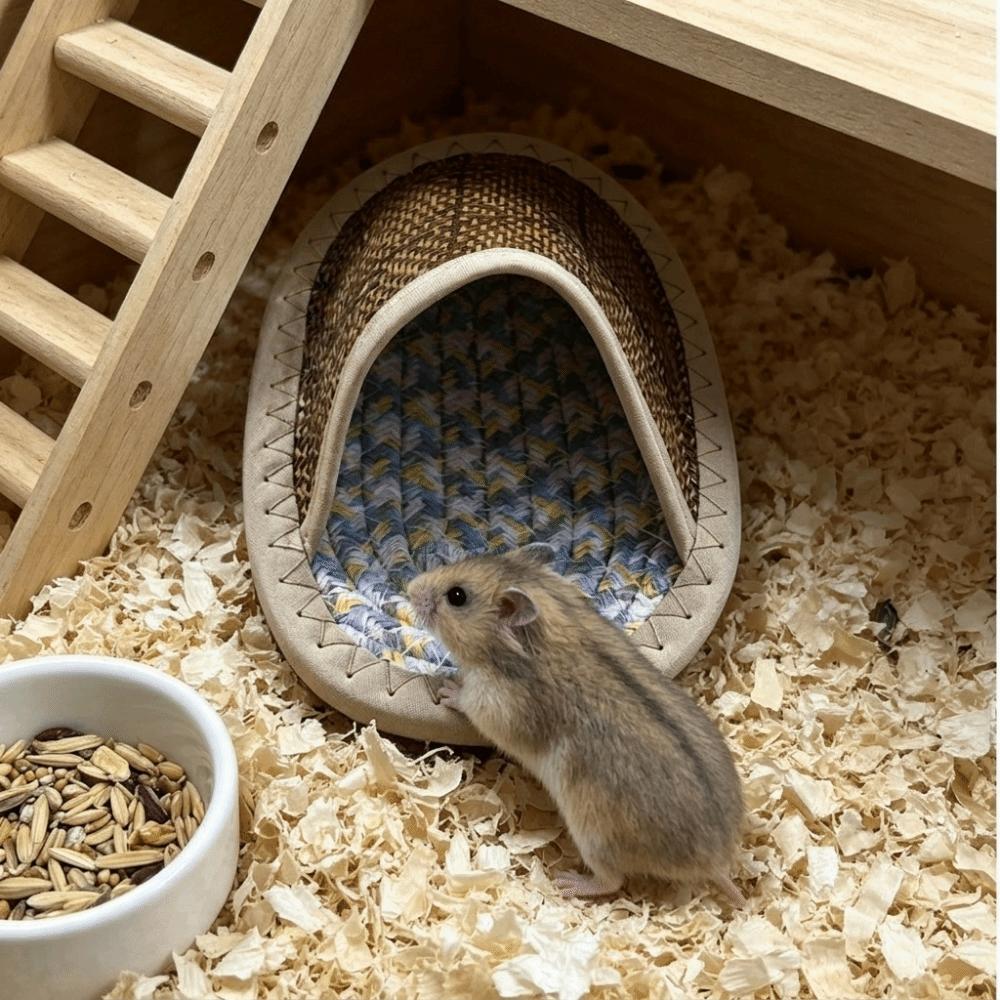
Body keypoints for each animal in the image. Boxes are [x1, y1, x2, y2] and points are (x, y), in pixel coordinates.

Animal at [408, 545, 747, 906]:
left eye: (457, 596)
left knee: (612, 881)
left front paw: (446, 690)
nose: (410, 588)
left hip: (594, 837)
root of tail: (714, 862)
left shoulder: (496, 704)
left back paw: (565, 882)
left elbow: (468, 701)